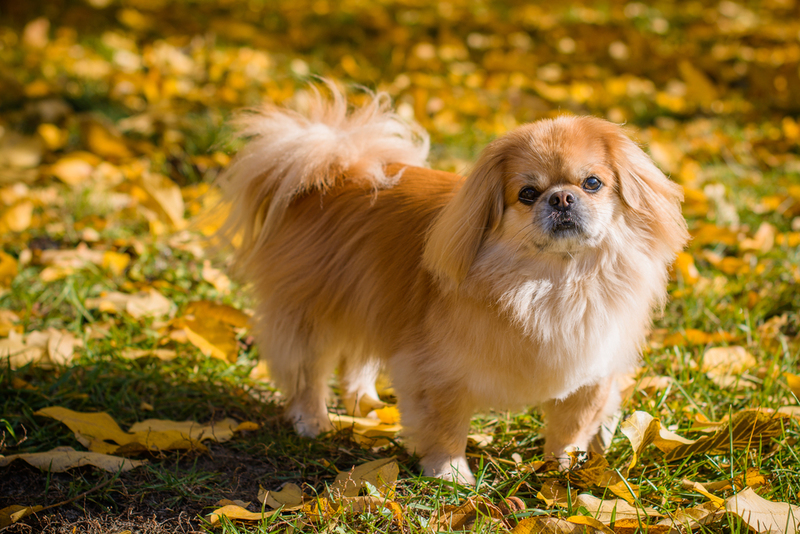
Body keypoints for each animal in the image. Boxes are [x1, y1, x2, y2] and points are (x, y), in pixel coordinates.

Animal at [219, 84, 688, 486]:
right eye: (528, 193)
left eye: (592, 183)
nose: (561, 197)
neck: (553, 283)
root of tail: (339, 172)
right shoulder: (438, 373)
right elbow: (445, 428)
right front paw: (450, 475)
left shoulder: (592, 372)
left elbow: (569, 428)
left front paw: (562, 470)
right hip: (312, 314)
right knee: (308, 372)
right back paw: (312, 422)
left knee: (356, 360)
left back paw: (365, 405)